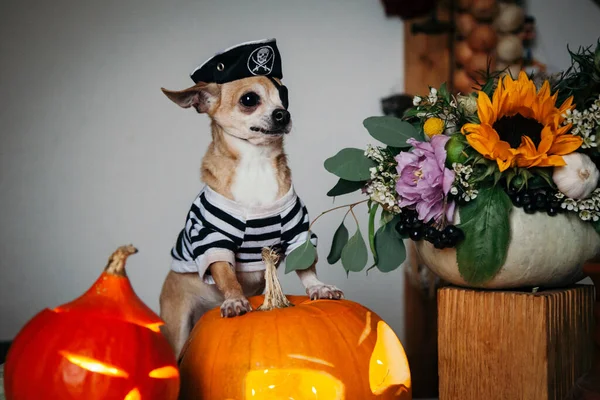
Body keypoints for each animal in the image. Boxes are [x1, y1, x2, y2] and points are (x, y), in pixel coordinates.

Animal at [158, 39, 342, 358]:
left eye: (284, 96)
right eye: (249, 100)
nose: (283, 114)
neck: (256, 163)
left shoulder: (298, 230)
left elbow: (306, 265)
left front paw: (318, 287)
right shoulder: (213, 238)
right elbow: (226, 273)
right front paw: (234, 300)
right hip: (179, 327)